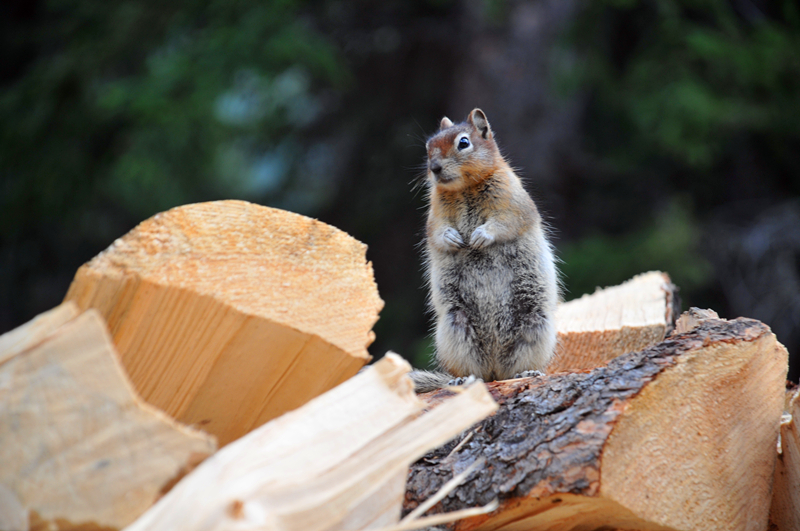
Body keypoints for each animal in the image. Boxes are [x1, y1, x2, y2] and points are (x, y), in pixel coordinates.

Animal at [412, 109, 556, 390]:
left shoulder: (511, 204)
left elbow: (503, 223)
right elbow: (437, 232)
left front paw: (480, 236)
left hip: (536, 324)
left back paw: (526, 373)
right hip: (455, 326)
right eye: (428, 147)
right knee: (474, 372)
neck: (464, 188)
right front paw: (453, 239)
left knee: (515, 369)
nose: (434, 168)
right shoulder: (435, 215)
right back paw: (463, 379)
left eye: (463, 143)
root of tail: (494, 368)